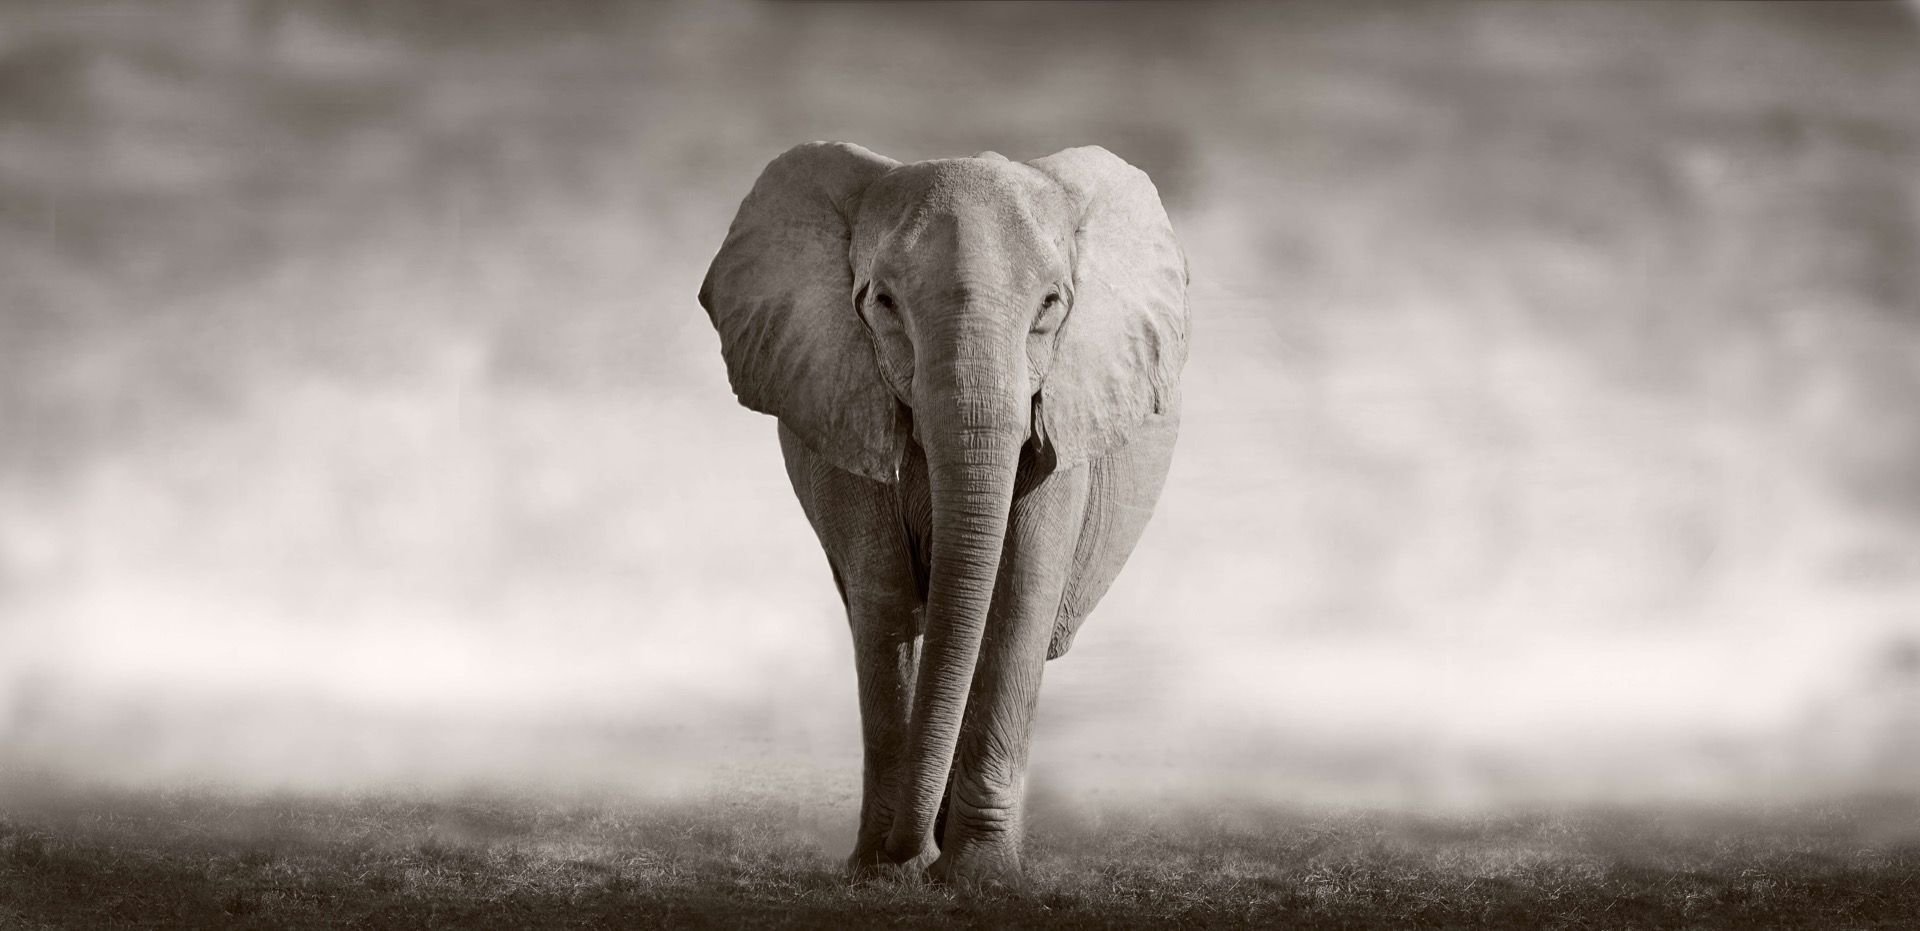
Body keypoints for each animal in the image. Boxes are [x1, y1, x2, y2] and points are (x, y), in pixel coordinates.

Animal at [698, 142, 1187, 884]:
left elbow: (1018, 597)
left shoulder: (1064, 412)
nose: (912, 854)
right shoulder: (844, 401)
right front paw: (884, 872)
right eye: (883, 302)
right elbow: (885, 598)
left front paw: (979, 877)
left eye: (1051, 304)